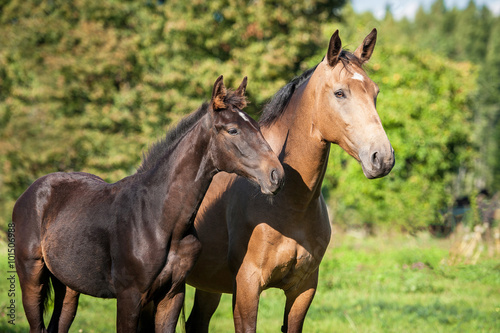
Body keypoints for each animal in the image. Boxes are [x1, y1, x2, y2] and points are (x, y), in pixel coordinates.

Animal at [12, 76, 286, 332]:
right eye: (232, 130)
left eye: (257, 127)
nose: (276, 175)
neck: (159, 219)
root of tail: (30, 192)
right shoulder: (130, 296)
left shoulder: (172, 294)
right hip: (31, 277)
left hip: (69, 286)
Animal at [184, 29, 394, 332]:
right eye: (340, 93)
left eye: (375, 92)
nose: (383, 158)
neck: (288, 204)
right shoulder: (246, 287)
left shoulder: (303, 289)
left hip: (208, 284)